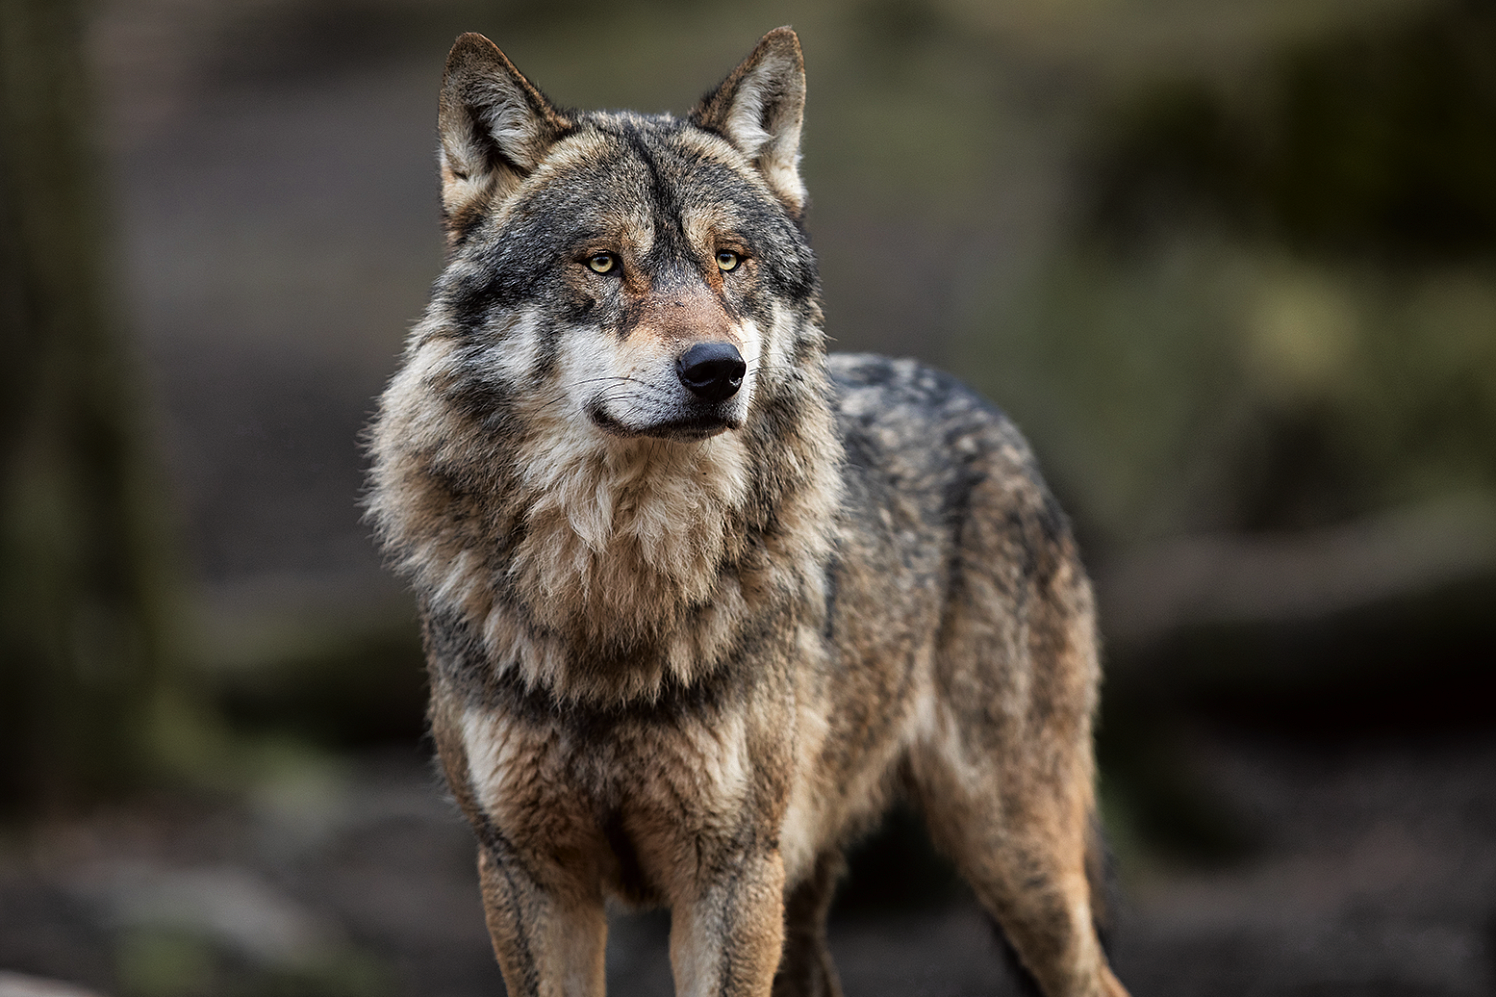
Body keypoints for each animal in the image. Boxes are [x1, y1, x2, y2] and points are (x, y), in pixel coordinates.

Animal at [367, 27, 1128, 997]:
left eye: (728, 259)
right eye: (602, 261)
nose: (716, 369)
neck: (616, 589)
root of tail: (986, 411)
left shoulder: (727, 874)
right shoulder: (527, 874)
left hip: (1011, 860)